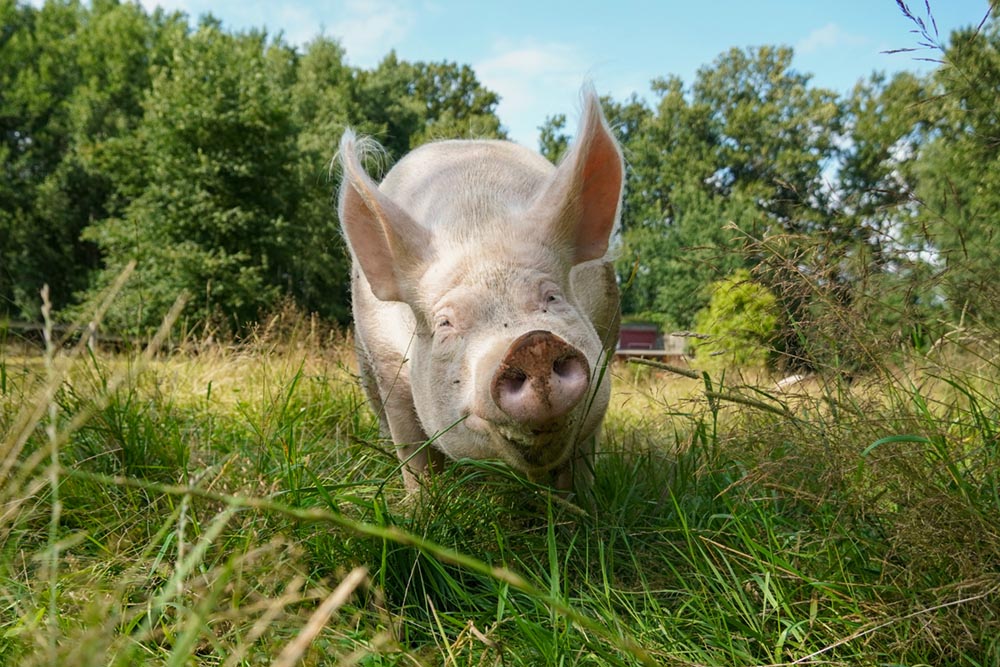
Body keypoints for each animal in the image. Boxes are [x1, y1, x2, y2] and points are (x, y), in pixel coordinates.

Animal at [337, 88, 622, 500]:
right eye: (445, 323)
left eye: (552, 297)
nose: (533, 344)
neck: (478, 225)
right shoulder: (387, 362)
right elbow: (412, 449)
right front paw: (419, 503)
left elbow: (583, 454)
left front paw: (582, 503)